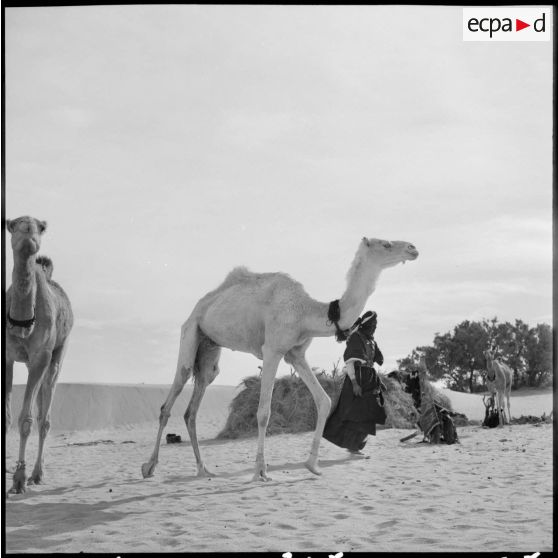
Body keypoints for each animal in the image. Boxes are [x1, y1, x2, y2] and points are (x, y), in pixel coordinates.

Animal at [142, 236, 418, 482]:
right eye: (386, 244)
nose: (413, 248)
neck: (305, 312)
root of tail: (197, 308)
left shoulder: (295, 354)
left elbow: (324, 401)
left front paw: (312, 466)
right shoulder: (272, 350)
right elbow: (264, 411)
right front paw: (260, 471)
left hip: (209, 350)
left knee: (193, 408)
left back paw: (203, 469)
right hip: (190, 334)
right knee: (170, 400)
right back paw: (149, 468)